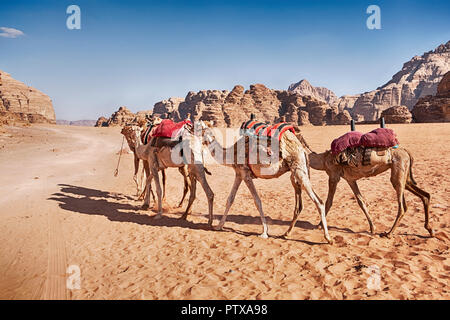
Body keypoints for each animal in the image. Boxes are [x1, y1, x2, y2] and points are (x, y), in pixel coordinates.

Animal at [202, 124, 332, 244]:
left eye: (201, 128)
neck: (231, 153)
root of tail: (302, 149)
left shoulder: (246, 174)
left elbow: (257, 201)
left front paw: (264, 232)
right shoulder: (239, 174)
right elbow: (230, 199)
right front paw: (219, 226)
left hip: (299, 170)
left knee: (319, 202)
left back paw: (328, 238)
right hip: (295, 174)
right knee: (299, 205)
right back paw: (286, 233)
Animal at [302, 135, 432, 238]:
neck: (323, 160)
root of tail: (407, 152)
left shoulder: (334, 176)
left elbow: (329, 201)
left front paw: (319, 224)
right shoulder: (350, 179)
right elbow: (361, 201)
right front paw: (372, 228)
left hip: (398, 172)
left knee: (402, 206)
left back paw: (389, 233)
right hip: (405, 175)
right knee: (425, 195)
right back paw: (430, 229)